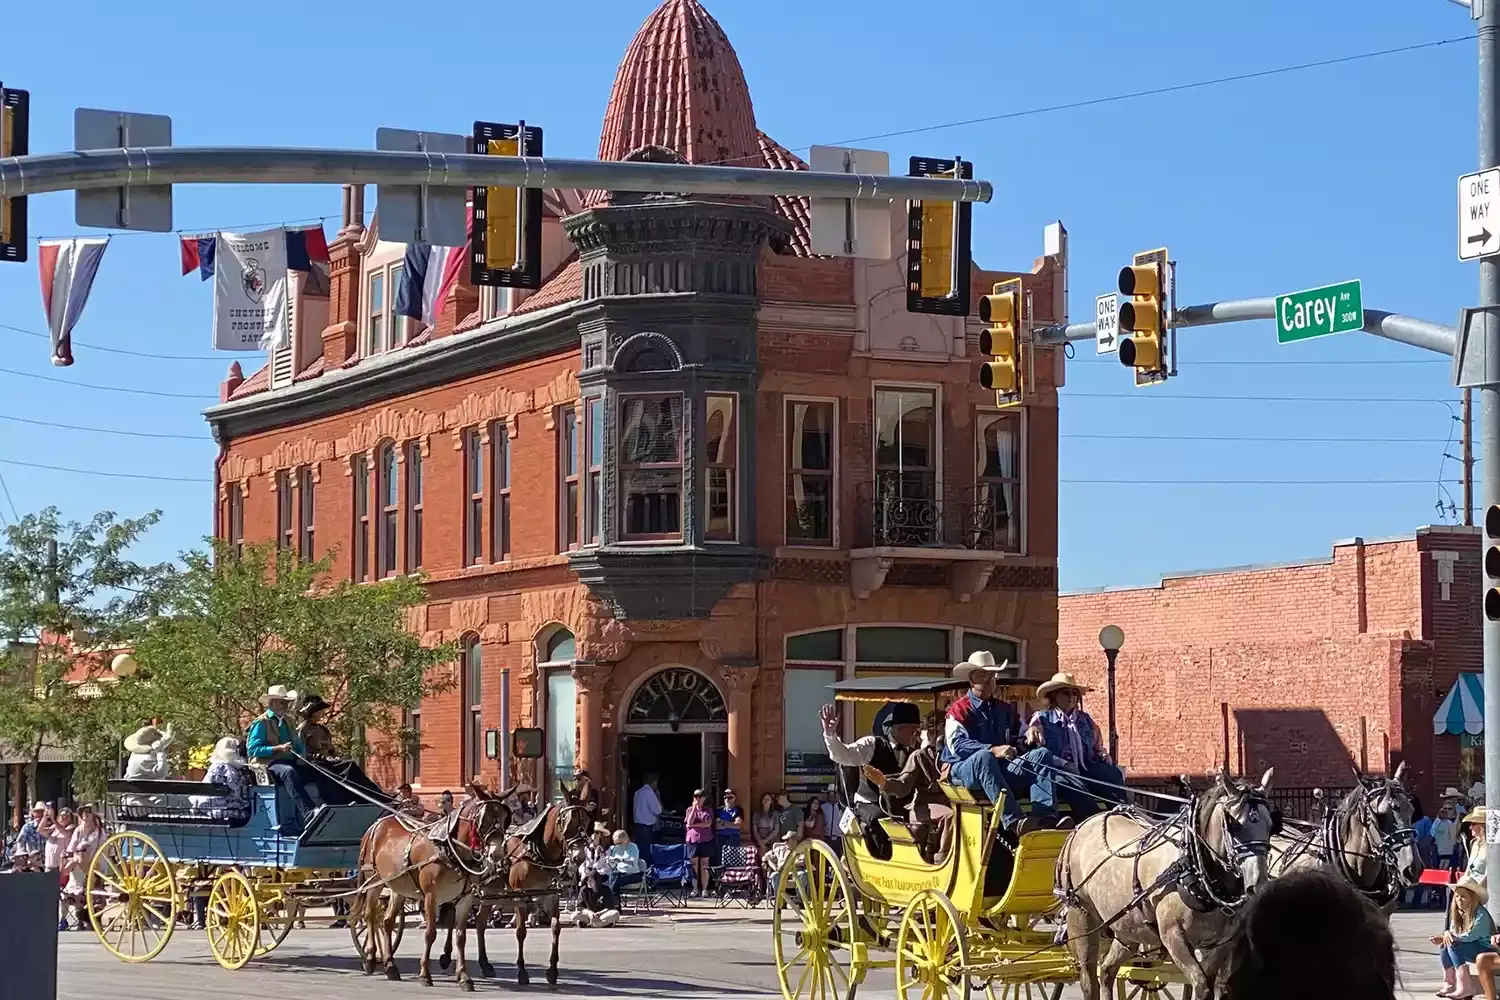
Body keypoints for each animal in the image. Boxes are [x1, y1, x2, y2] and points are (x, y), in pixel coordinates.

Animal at [357, 779, 516, 995]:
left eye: (505, 817)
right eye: (484, 818)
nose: (497, 854)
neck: (450, 848)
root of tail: (377, 824)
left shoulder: (465, 899)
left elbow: (460, 936)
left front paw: (464, 977)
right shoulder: (431, 897)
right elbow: (430, 933)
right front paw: (425, 974)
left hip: (398, 886)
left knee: (387, 921)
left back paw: (390, 966)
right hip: (374, 881)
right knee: (370, 916)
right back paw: (371, 958)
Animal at [1056, 773, 1278, 1000]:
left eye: (1271, 826)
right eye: (1234, 824)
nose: (1257, 883)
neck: (1192, 865)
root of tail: (1082, 826)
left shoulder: (1220, 944)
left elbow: (1213, 985)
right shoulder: (1174, 937)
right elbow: (1202, 987)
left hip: (1128, 928)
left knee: (1108, 970)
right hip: (1081, 916)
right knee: (1089, 979)